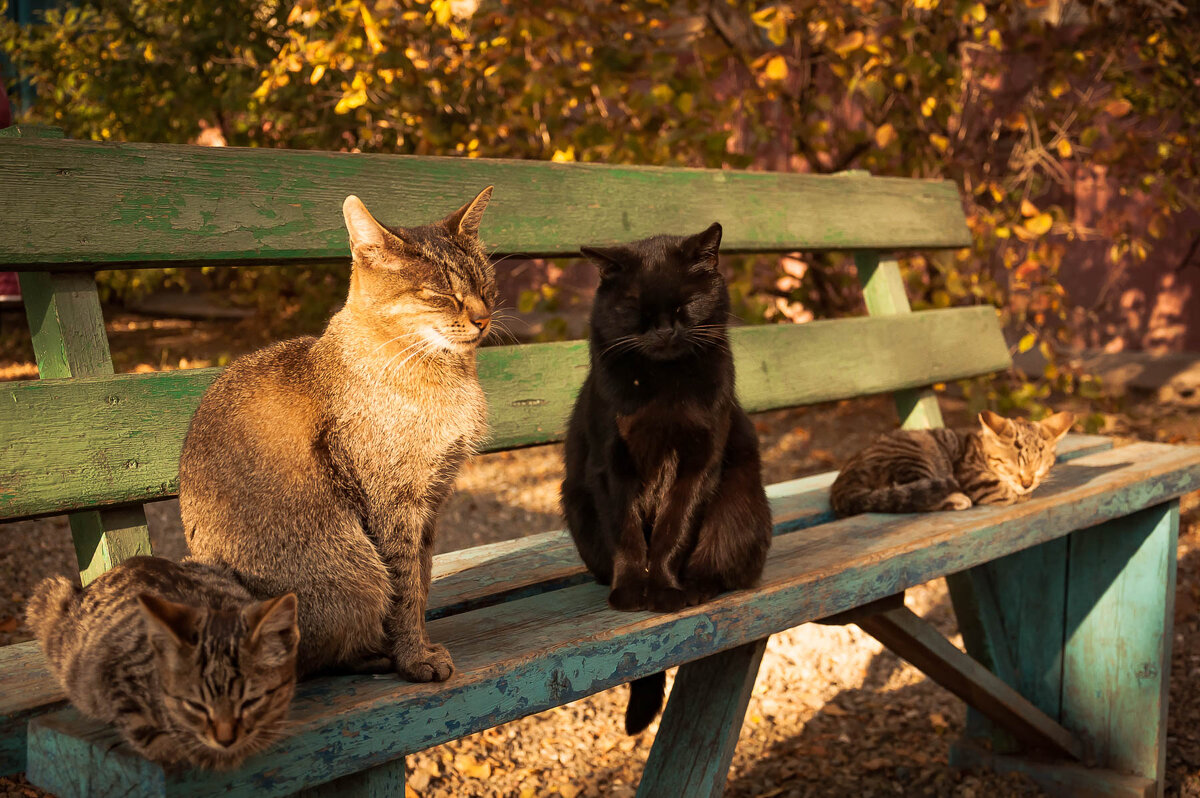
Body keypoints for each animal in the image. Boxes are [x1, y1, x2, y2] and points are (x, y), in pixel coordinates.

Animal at [178, 187, 496, 676]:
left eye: (485, 286)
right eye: (441, 293)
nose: (484, 317)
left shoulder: (432, 499)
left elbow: (422, 580)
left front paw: (416, 644)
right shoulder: (394, 504)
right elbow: (405, 589)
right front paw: (414, 657)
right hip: (355, 568)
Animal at [559, 220, 768, 729]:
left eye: (685, 304)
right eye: (635, 307)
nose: (665, 330)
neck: (664, 387)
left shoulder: (699, 462)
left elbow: (674, 530)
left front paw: (667, 590)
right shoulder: (611, 464)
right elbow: (629, 535)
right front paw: (632, 590)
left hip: (739, 504)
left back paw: (696, 587)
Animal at [830, 410, 1075, 516]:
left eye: (1040, 468)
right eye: (1011, 466)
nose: (1026, 482)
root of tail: (840, 484)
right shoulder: (970, 476)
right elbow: (1007, 493)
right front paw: (1019, 493)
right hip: (914, 458)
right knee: (912, 498)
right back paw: (956, 499)